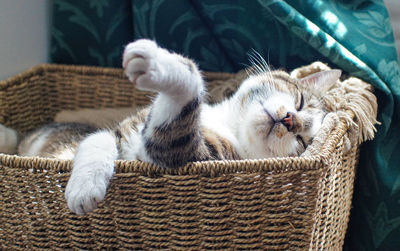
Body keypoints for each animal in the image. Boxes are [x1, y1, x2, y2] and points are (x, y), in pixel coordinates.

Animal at [0, 39, 340, 214]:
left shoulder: (186, 153)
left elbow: (188, 93)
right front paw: (85, 184)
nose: (290, 120)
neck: (228, 125)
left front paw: (162, 64)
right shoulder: (125, 127)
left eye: (302, 141)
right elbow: (99, 138)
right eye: (300, 101)